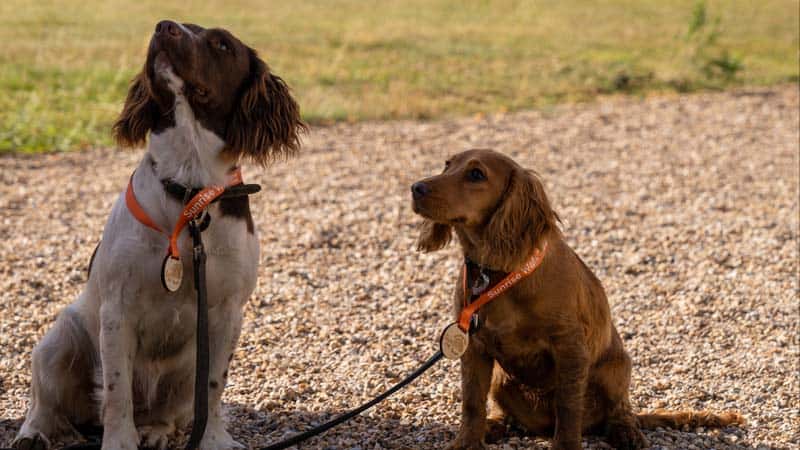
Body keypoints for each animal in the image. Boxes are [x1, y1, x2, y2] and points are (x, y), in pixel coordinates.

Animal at [12, 21, 306, 450]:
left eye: (221, 43)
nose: (164, 26)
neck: (189, 194)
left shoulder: (227, 314)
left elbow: (213, 388)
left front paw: (213, 439)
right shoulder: (117, 311)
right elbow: (117, 392)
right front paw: (120, 442)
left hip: (184, 369)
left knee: (167, 411)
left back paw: (155, 431)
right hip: (60, 340)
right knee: (46, 401)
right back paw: (33, 432)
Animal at [412, 149, 744, 448]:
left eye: (476, 174)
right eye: (446, 165)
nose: (415, 188)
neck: (495, 272)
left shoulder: (570, 345)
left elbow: (568, 407)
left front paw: (566, 444)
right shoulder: (475, 348)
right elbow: (472, 403)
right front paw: (467, 442)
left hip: (618, 367)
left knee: (619, 411)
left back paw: (627, 433)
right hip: (501, 379)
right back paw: (494, 425)